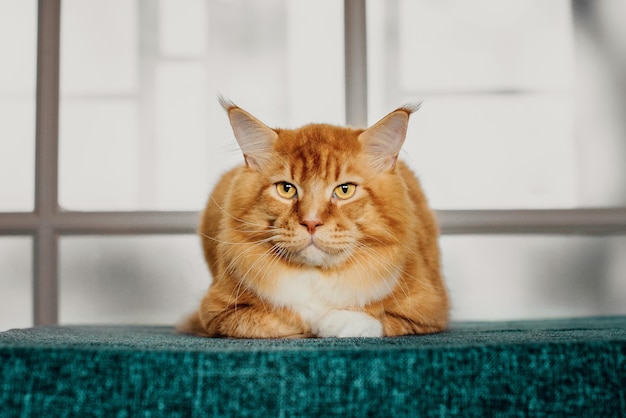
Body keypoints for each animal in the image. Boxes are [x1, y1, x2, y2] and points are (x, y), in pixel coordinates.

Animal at [178, 101, 446, 340]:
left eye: (345, 190)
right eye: (286, 189)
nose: (311, 222)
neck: (316, 276)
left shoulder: (430, 310)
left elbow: (375, 320)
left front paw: (330, 323)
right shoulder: (215, 313)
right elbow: (270, 322)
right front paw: (307, 325)